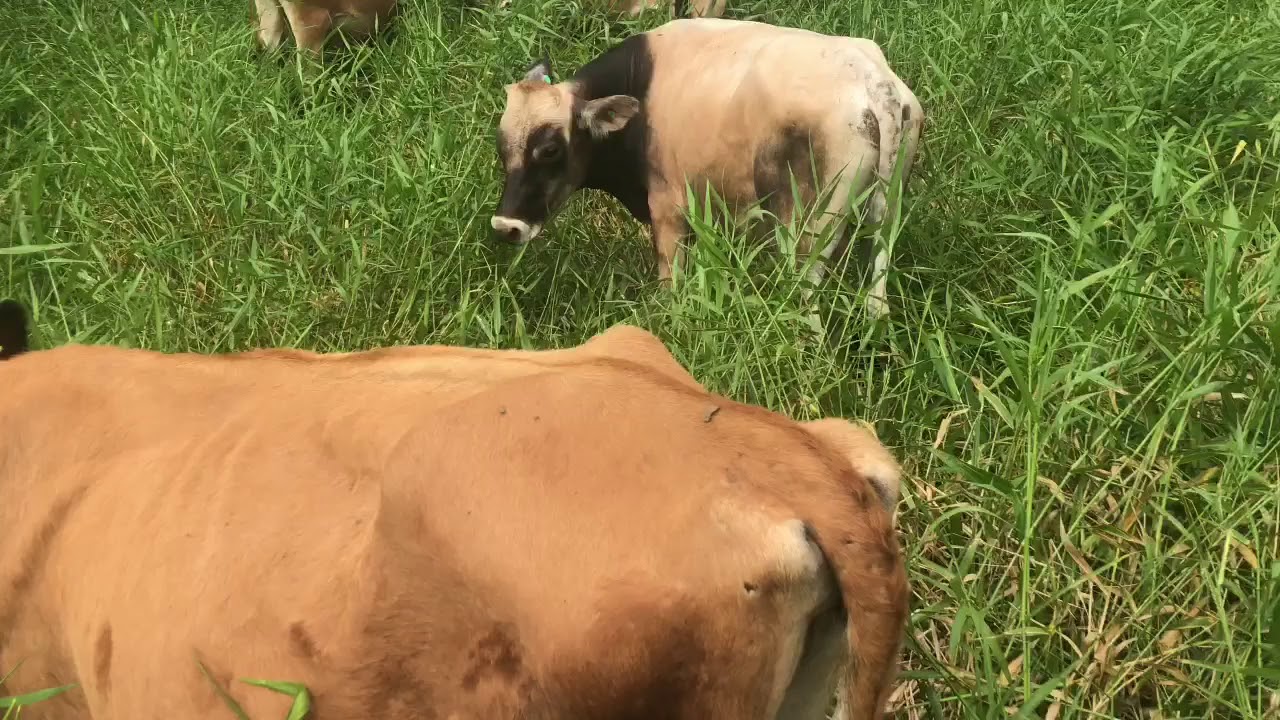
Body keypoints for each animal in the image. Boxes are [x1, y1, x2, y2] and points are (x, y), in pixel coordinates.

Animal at [491, 18, 924, 318]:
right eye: (501, 145)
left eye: (549, 150)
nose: (506, 227)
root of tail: (876, 85)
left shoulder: (668, 213)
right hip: (884, 217)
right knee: (877, 297)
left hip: (805, 234)